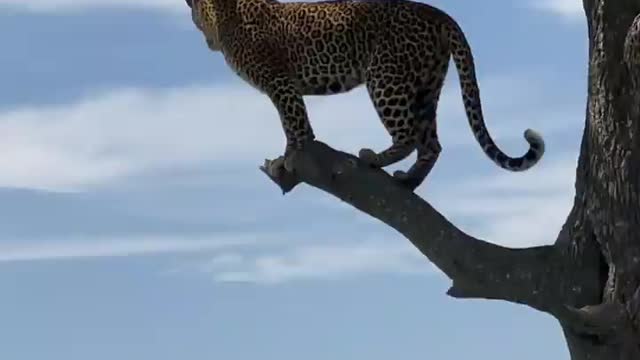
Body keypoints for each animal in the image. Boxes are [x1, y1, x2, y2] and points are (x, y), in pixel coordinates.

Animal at [185, 0, 544, 188]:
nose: (205, 40)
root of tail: (436, 12)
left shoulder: (280, 83)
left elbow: (293, 122)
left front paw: (288, 156)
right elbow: (295, 121)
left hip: (385, 78)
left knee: (409, 135)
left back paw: (374, 159)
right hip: (427, 85)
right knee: (431, 143)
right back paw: (408, 181)